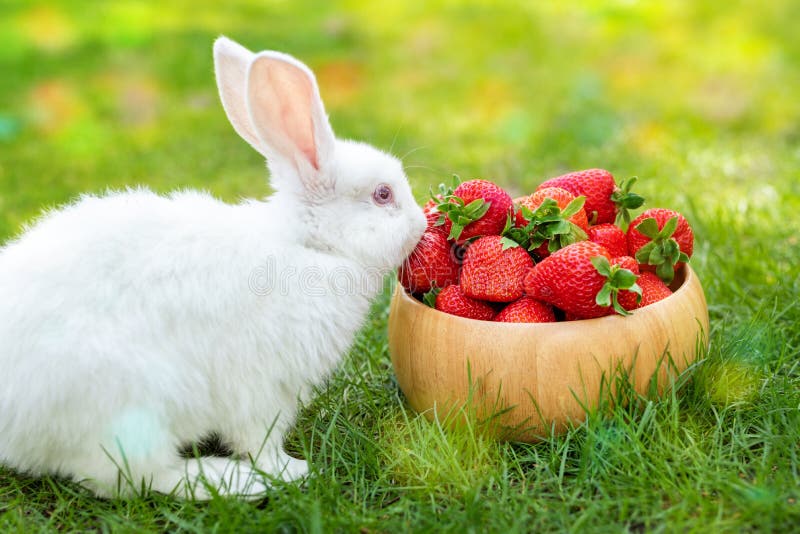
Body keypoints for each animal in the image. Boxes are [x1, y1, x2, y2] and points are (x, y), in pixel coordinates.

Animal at [0, 35, 424, 500]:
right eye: (383, 194)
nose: (422, 223)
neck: (312, 247)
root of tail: (15, 431)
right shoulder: (262, 386)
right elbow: (260, 439)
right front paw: (291, 470)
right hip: (133, 408)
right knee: (136, 477)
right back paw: (234, 480)